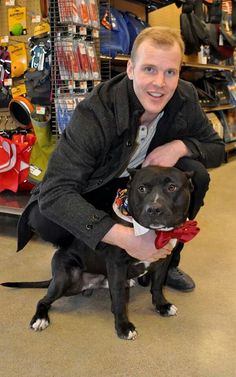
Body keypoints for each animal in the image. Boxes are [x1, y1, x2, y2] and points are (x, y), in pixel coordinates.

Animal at [1, 166, 195, 340]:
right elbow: (119, 298)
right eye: (142, 188)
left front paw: (162, 305)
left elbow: (157, 285)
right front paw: (123, 327)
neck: (151, 233)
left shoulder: (164, 260)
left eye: (172, 187)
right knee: (43, 300)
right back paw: (40, 319)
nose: (154, 209)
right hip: (66, 279)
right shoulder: (117, 264)